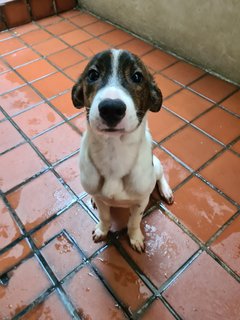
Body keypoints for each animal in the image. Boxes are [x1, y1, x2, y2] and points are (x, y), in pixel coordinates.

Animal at [72, 48, 173, 252]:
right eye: (93, 74)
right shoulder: (102, 199)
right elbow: (105, 216)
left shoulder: (141, 201)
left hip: (156, 165)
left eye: (137, 76)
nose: (111, 108)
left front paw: (135, 237)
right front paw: (102, 230)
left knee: (160, 176)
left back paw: (166, 191)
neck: (114, 153)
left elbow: (134, 221)